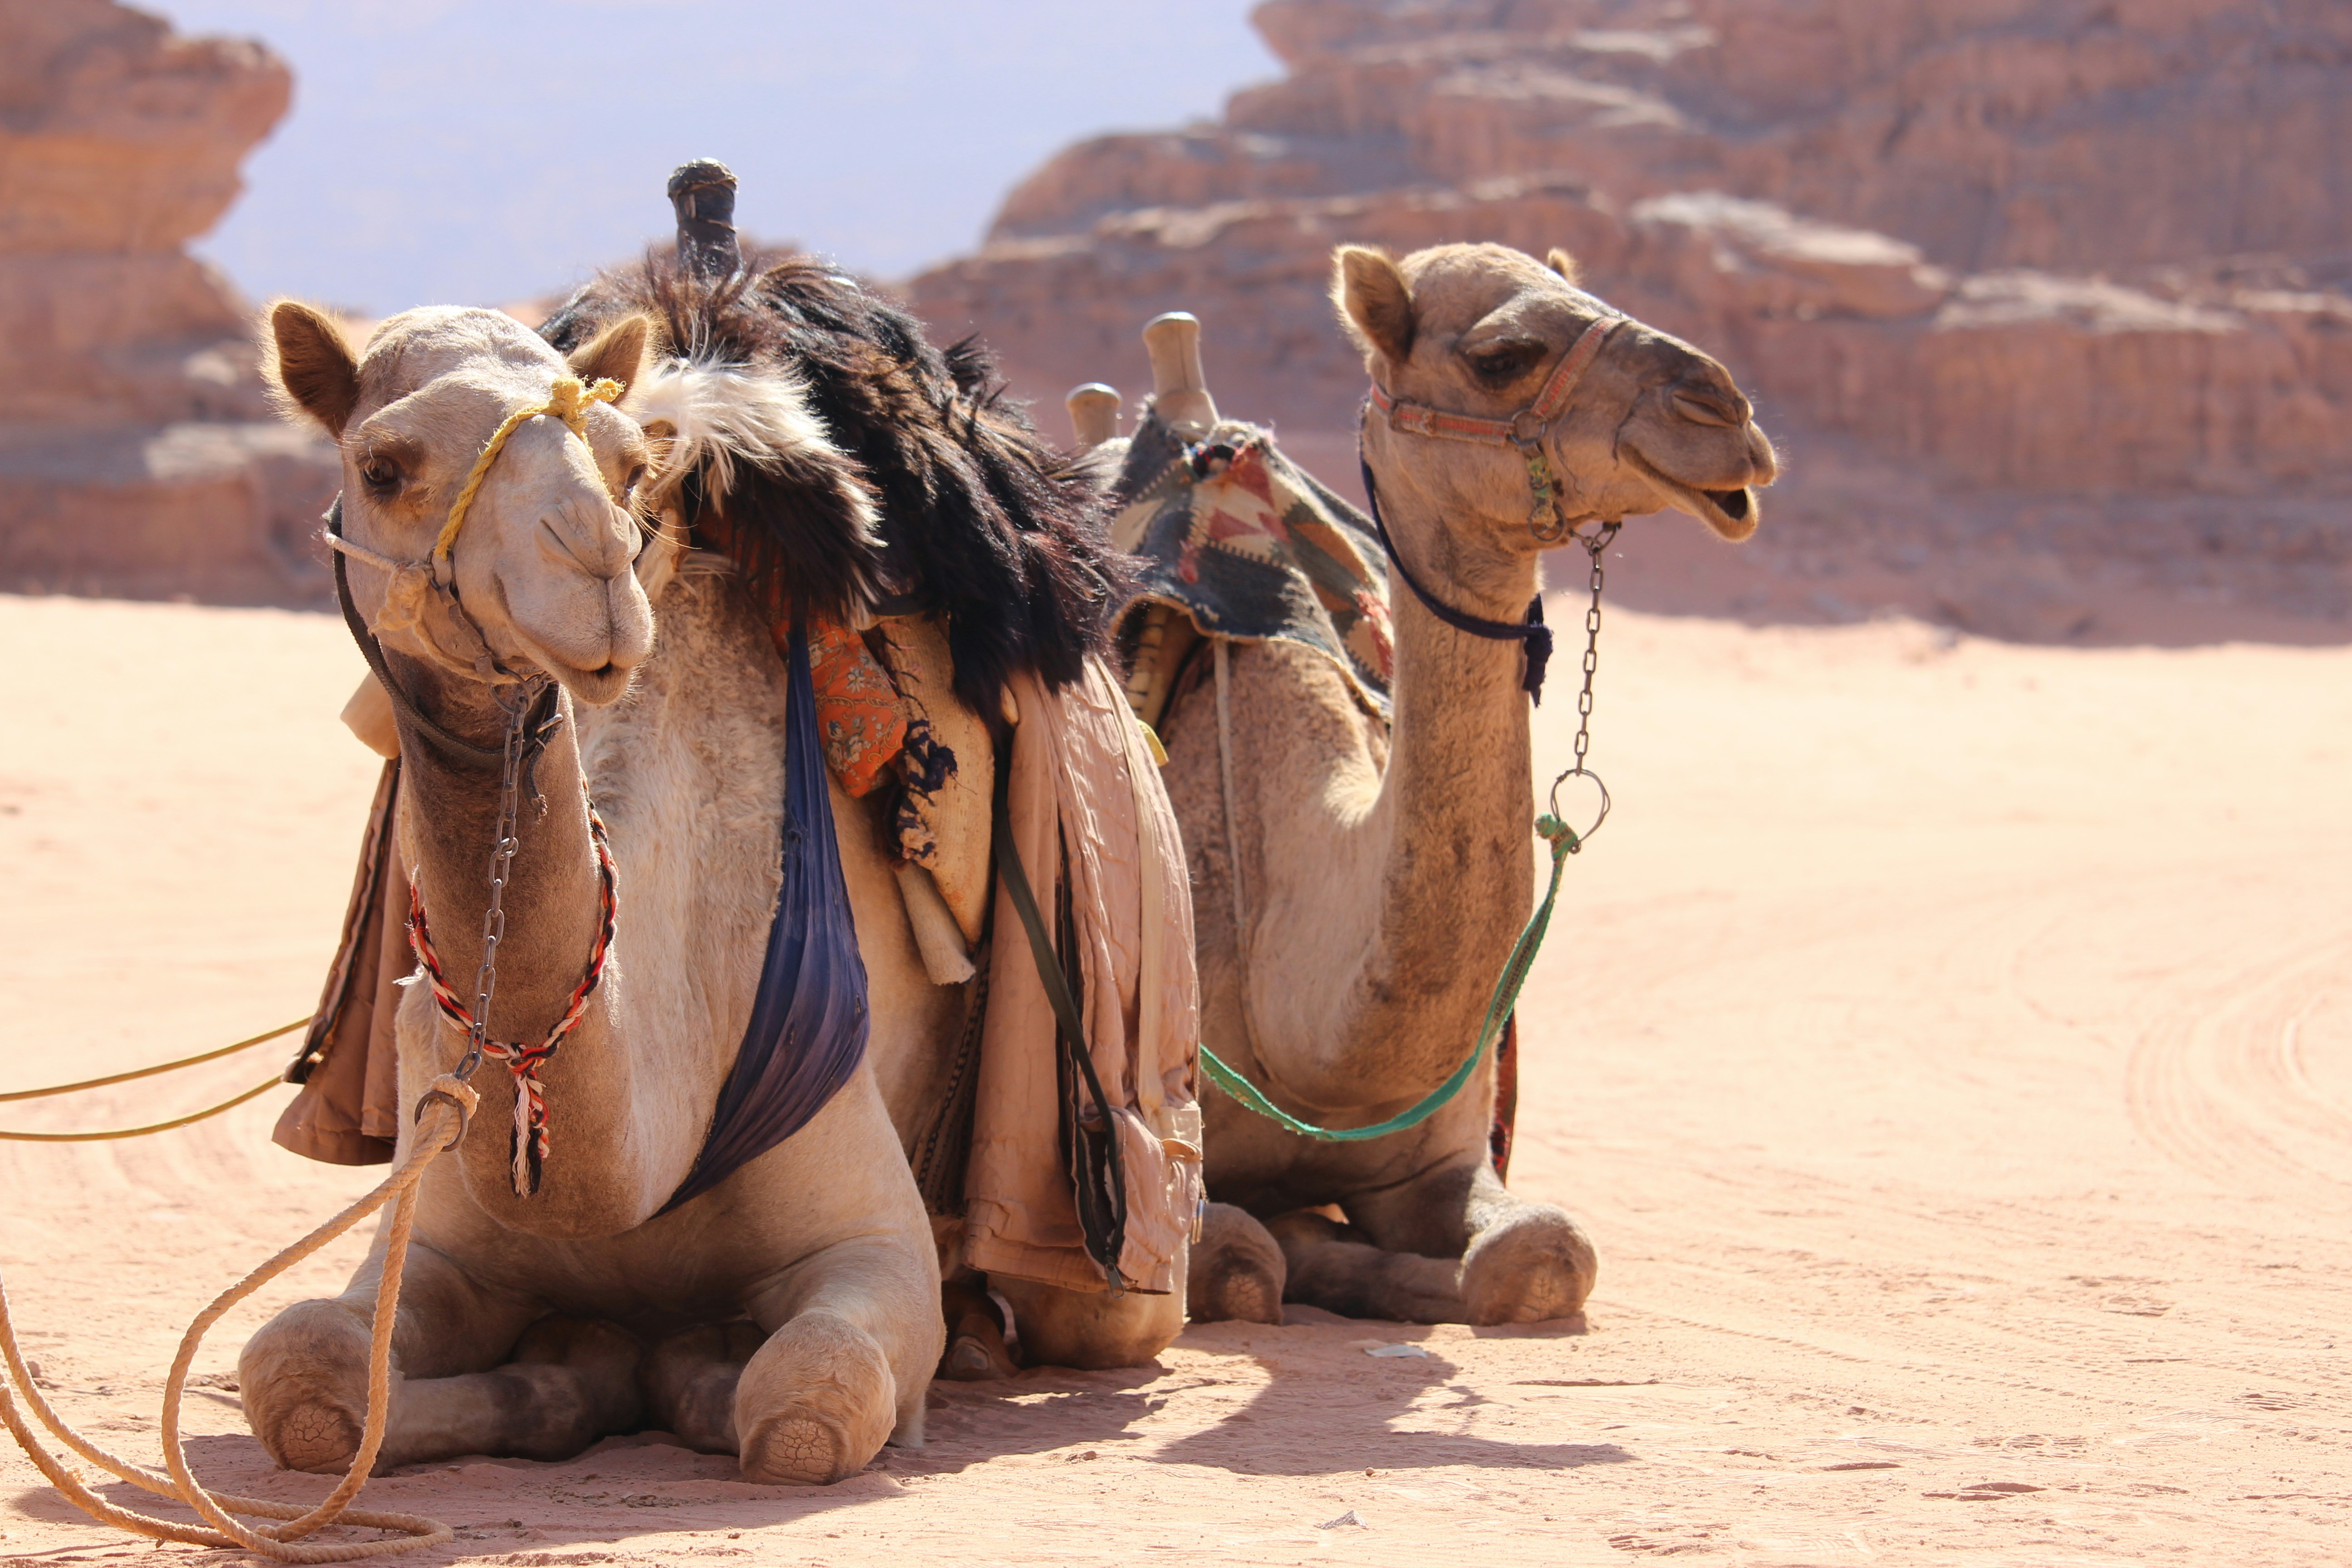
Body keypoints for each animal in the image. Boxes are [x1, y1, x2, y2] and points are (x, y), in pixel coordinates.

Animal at [242, 255, 1179, 1483]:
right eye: (382, 465)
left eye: (624, 463)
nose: (594, 568)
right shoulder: (437, 1232)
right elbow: (302, 1373)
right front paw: (567, 1371)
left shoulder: (868, 1239)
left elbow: (806, 1399)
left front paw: (689, 1365)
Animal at [1107, 243, 1776, 1326]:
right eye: (1502, 355)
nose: (1723, 412)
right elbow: (1245, 1263)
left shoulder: (1434, 1163)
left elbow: (1545, 1252)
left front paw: (1411, 1274)